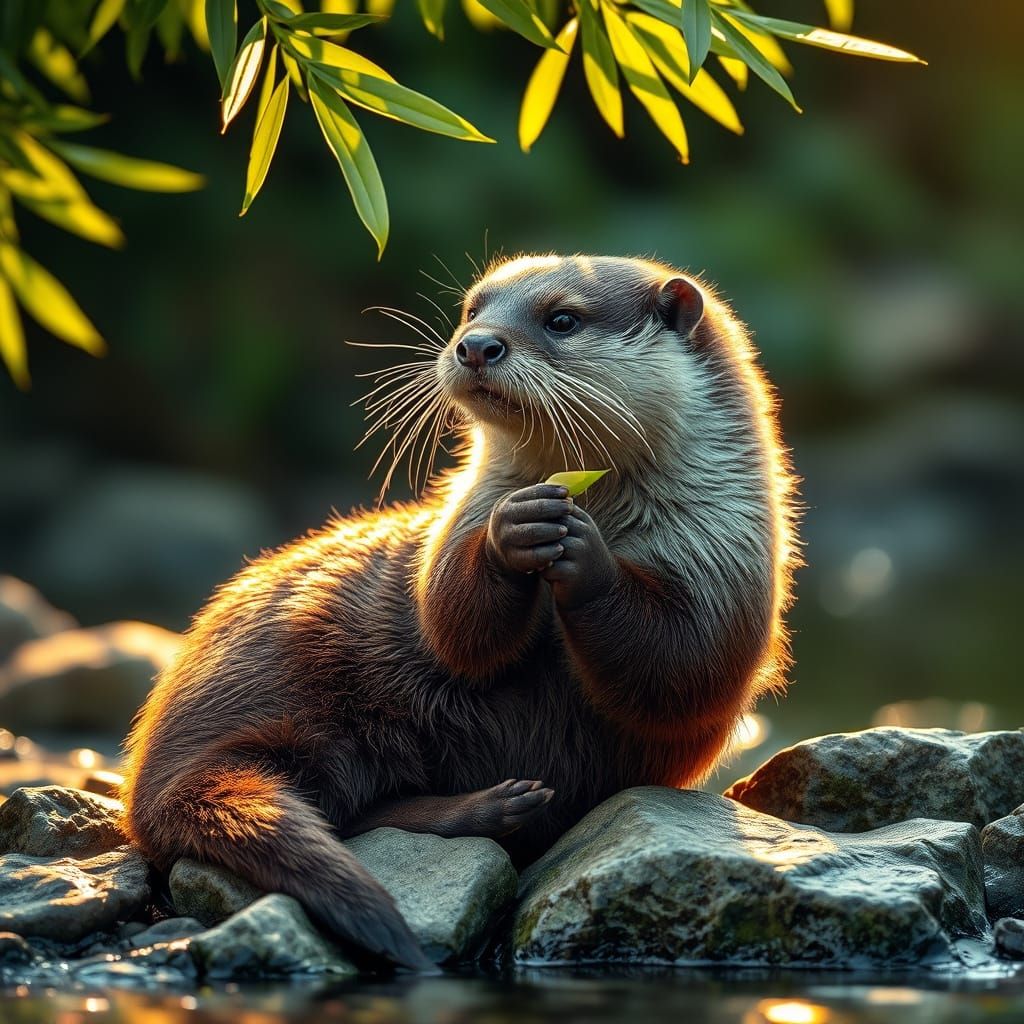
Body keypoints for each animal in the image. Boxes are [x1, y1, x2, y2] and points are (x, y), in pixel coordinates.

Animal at [121, 254, 798, 970]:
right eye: (473, 310)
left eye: (563, 318)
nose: (476, 346)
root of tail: (157, 767)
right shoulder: (460, 519)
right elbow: (450, 620)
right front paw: (515, 531)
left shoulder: (723, 561)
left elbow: (687, 665)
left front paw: (584, 555)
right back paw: (490, 809)